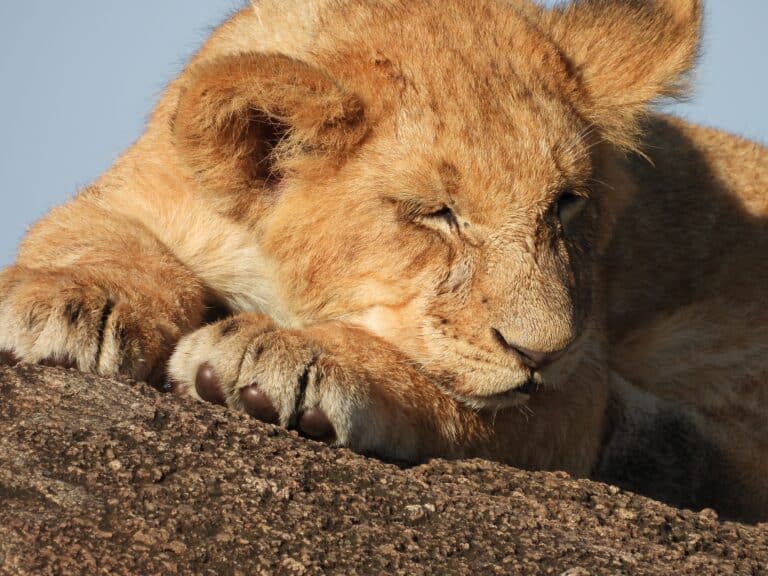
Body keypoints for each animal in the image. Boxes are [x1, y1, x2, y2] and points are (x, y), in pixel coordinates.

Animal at [1, 0, 766, 522]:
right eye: (436, 213)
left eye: (567, 203)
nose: (541, 352)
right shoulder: (135, 192)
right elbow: (94, 238)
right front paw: (71, 303)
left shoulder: (579, 387)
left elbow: (443, 385)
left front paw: (294, 360)